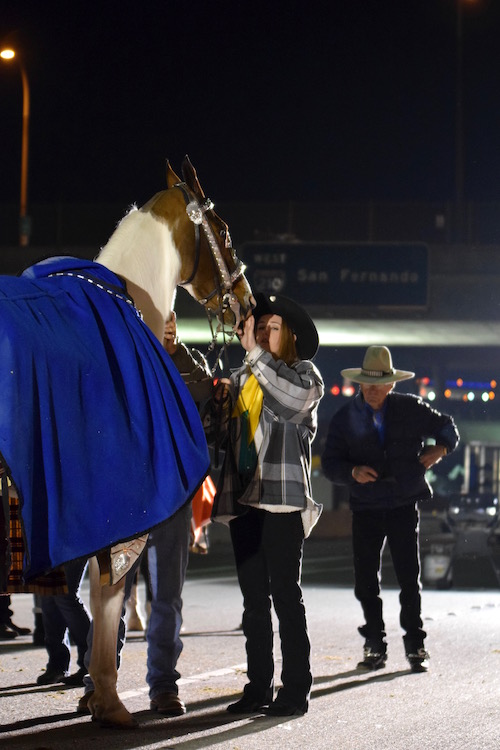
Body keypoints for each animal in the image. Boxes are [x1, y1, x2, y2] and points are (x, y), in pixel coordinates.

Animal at [0, 157, 254, 728]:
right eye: (225, 231)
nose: (249, 305)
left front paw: (96, 693)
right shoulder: (121, 511)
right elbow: (109, 596)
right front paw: (110, 700)